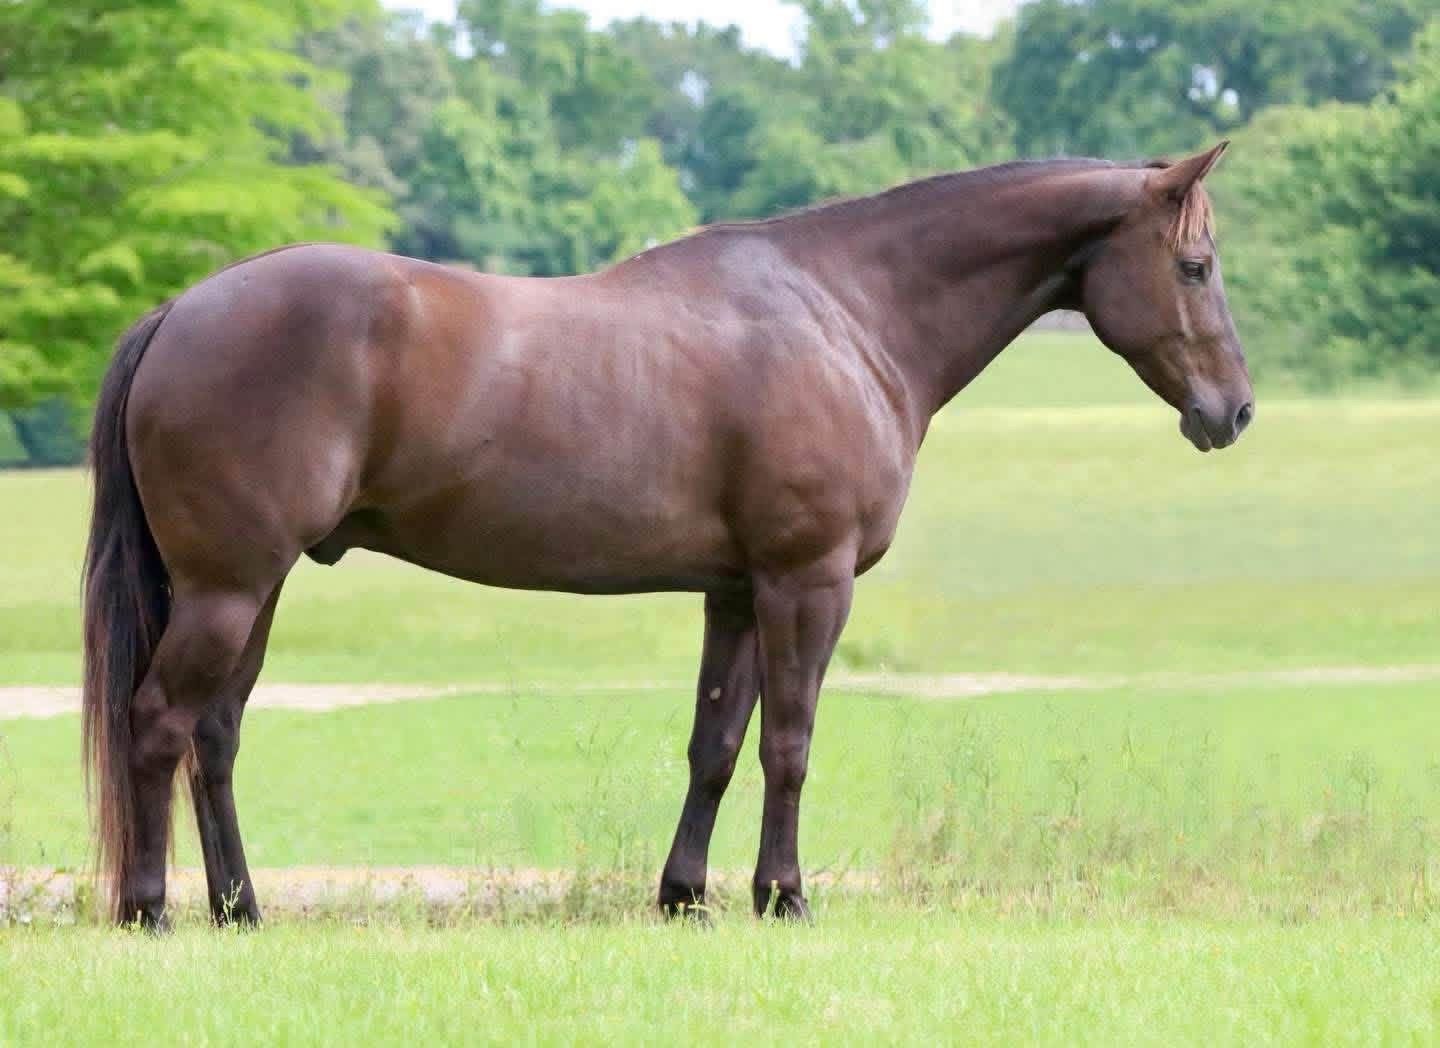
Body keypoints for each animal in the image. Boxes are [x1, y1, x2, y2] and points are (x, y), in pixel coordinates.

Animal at [82, 142, 1252, 928]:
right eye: (1195, 266)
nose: (1234, 411)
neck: (844, 310)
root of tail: (183, 309)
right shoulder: (806, 582)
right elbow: (789, 742)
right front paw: (784, 895)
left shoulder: (735, 589)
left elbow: (717, 743)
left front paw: (685, 894)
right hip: (231, 587)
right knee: (158, 723)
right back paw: (151, 909)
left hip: (254, 590)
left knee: (216, 735)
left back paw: (240, 906)